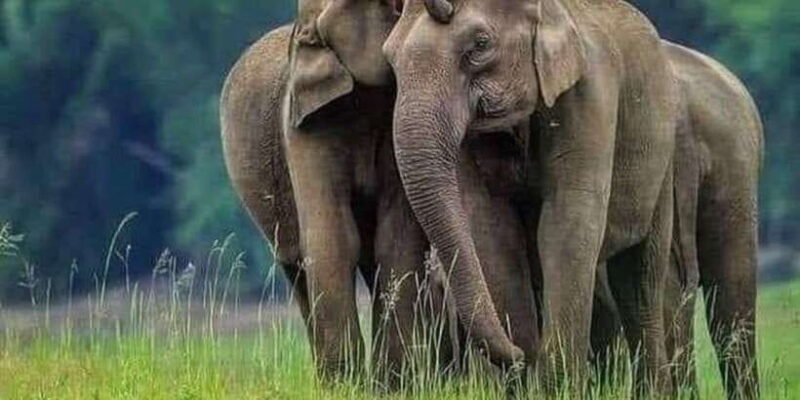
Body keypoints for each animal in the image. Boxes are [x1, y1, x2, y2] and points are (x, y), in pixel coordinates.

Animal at [384, 0, 681, 394]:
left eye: (480, 45)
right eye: (389, 58)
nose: (517, 356)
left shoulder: (590, 97)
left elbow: (566, 224)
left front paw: (557, 388)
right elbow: (493, 230)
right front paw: (525, 381)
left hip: (662, 161)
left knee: (640, 280)